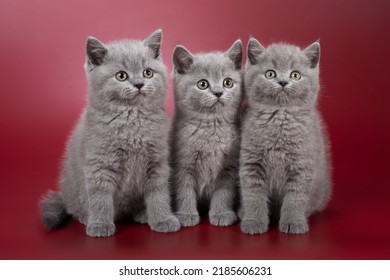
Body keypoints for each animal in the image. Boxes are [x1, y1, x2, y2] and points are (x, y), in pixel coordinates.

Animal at [39, 30, 180, 236]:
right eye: (121, 76)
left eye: (148, 72)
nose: (139, 84)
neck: (133, 118)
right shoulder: (100, 164)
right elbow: (100, 197)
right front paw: (100, 224)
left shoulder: (157, 161)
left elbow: (159, 192)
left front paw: (163, 219)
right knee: (74, 208)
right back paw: (85, 217)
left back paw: (142, 214)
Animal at [171, 39, 244, 228]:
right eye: (202, 84)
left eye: (228, 82)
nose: (218, 92)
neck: (211, 127)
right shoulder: (182, 165)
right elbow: (184, 190)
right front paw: (186, 215)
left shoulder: (229, 167)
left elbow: (223, 192)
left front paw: (221, 214)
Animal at [239, 37, 330, 234]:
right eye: (270, 74)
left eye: (295, 75)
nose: (282, 82)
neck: (279, 117)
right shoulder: (251, 162)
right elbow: (253, 194)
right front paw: (253, 221)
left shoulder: (302, 164)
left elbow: (295, 198)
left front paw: (293, 222)